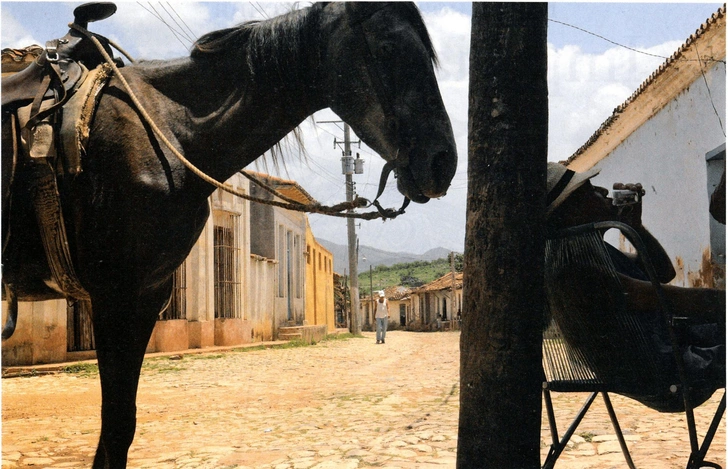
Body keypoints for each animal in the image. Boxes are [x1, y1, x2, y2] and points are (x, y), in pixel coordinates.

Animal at [1, 2, 456, 464]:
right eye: (386, 48)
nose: (444, 163)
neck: (171, 131)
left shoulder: (146, 295)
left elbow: (117, 432)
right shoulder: (115, 295)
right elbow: (115, 429)